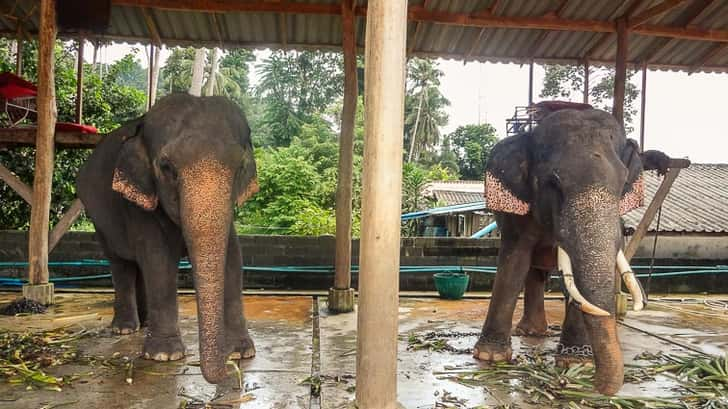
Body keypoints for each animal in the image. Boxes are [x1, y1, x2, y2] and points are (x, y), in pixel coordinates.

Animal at [76, 93, 258, 382]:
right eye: (166, 167)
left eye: (240, 167)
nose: (230, 372)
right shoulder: (137, 203)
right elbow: (158, 259)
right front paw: (164, 355)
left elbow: (233, 258)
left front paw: (241, 352)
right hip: (98, 219)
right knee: (122, 265)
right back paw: (125, 329)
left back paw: (145, 323)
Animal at [474, 107, 668, 394]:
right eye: (553, 182)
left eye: (623, 182)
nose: (597, 387)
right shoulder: (515, 216)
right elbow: (514, 262)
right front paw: (490, 357)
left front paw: (576, 362)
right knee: (533, 272)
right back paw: (530, 333)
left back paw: (537, 333)